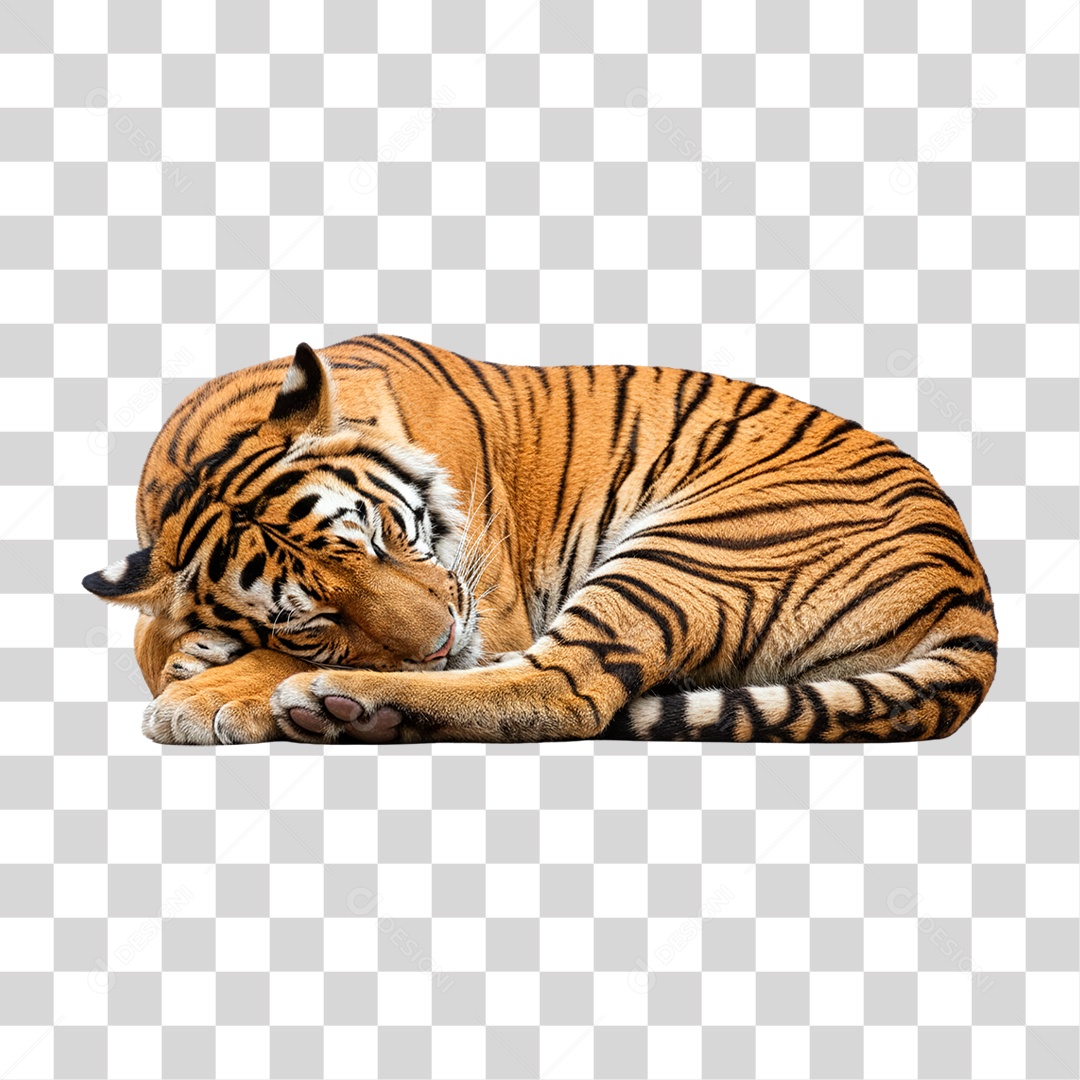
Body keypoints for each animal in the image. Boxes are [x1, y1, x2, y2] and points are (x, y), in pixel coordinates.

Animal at [82, 336, 998, 745]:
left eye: (379, 536)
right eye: (311, 618)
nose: (443, 641)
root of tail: (971, 588)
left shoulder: (486, 604)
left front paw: (206, 693)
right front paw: (195, 657)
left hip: (696, 543)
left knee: (568, 690)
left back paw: (339, 703)